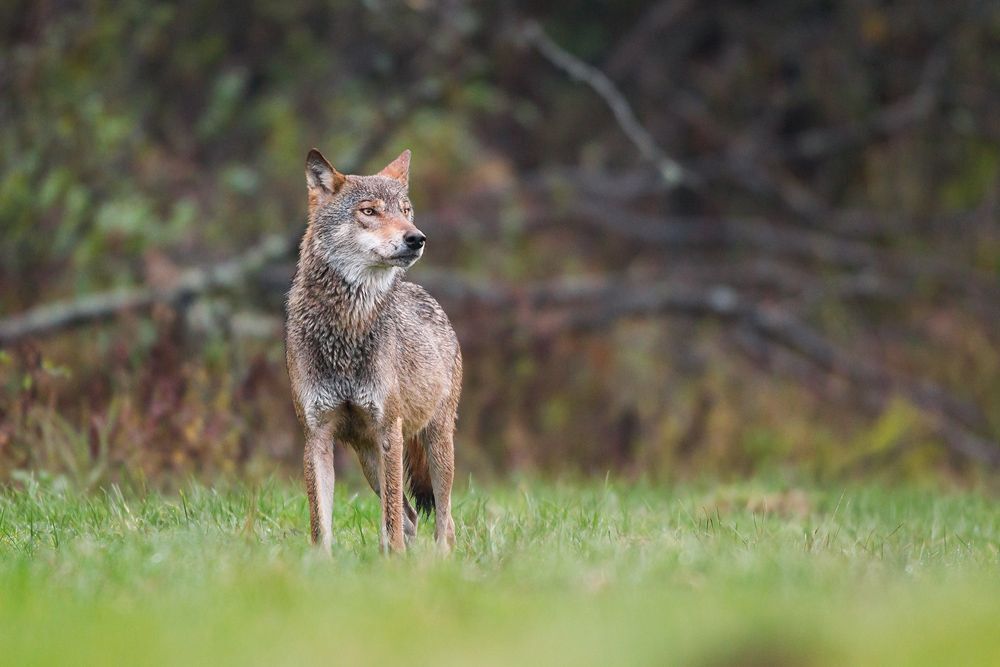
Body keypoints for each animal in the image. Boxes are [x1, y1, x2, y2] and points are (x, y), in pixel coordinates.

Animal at [285, 148, 462, 554]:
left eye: (406, 210)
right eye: (369, 211)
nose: (417, 238)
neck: (346, 332)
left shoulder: (388, 430)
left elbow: (393, 519)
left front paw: (393, 562)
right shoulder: (316, 435)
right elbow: (320, 523)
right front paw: (320, 564)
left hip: (436, 444)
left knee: (442, 521)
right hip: (370, 461)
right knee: (411, 517)